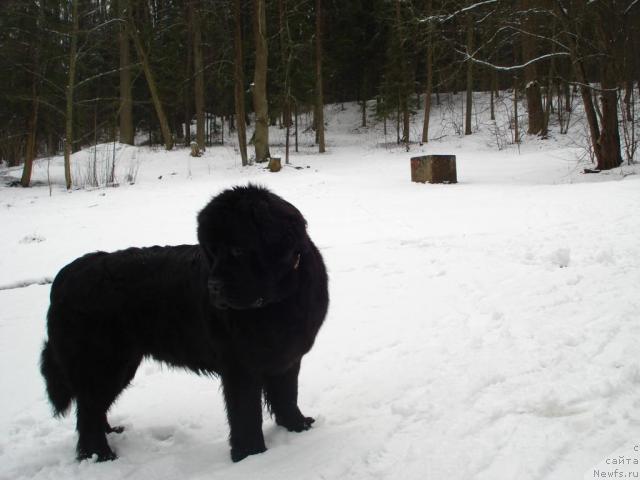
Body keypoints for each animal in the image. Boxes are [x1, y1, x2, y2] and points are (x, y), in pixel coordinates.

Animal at [40, 184, 330, 462]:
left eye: (238, 249)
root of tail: (65, 276)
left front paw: (297, 426)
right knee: (88, 410)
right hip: (104, 363)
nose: (213, 287)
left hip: (121, 364)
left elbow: (287, 395)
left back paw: (109, 434)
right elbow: (246, 413)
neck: (278, 301)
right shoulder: (240, 367)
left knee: (93, 407)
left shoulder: (287, 356)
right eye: (213, 251)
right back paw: (99, 455)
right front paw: (251, 455)